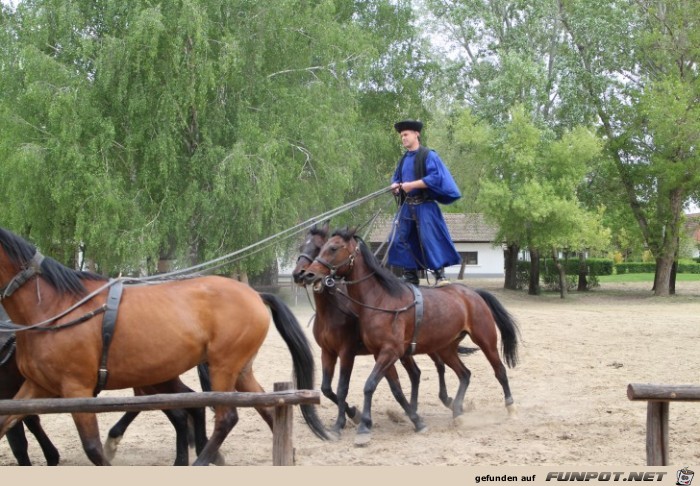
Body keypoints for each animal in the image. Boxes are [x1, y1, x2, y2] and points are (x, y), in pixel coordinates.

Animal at [0, 226, 330, 466]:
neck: (54, 307)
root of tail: (255, 294)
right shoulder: (36, 386)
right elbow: (7, 422)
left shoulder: (76, 389)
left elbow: (92, 448)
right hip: (238, 370)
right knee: (266, 406)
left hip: (222, 367)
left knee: (226, 418)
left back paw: (200, 462)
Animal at [302, 229, 520, 448]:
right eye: (320, 248)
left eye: (333, 248)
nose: (308, 274)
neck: (380, 300)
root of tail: (473, 293)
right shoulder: (380, 354)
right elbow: (395, 388)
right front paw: (414, 420)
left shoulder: (385, 352)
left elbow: (368, 385)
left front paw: (363, 427)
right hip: (446, 348)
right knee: (464, 374)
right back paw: (457, 412)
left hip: (485, 340)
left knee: (499, 370)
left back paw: (510, 407)